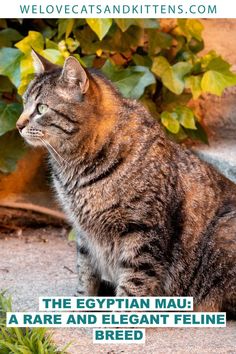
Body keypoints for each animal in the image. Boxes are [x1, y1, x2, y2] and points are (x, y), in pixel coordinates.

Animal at [15, 51, 235, 316]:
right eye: (24, 103)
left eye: (41, 108)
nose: (18, 125)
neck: (75, 167)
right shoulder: (84, 233)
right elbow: (85, 272)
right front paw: (81, 304)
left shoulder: (143, 231)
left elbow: (134, 282)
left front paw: (121, 316)